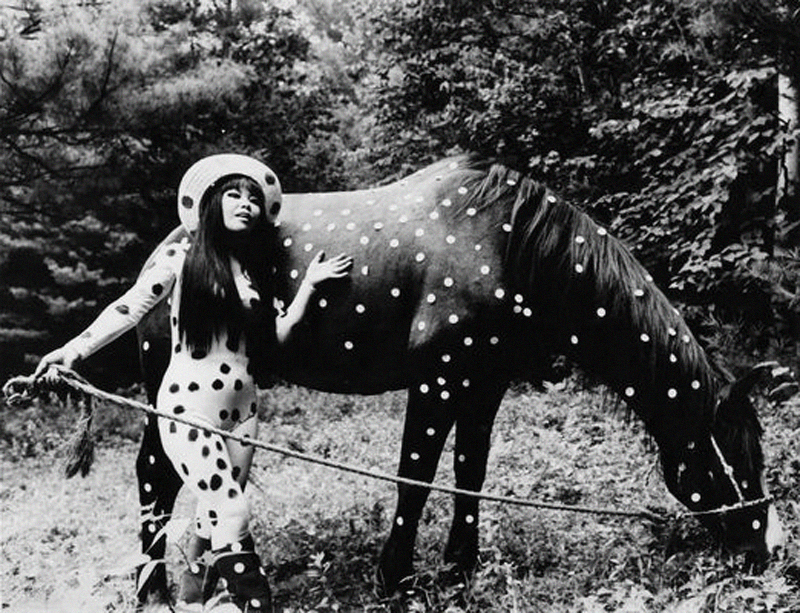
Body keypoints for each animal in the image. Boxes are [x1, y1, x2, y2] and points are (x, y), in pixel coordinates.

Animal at [134, 154, 784, 604]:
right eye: (731, 463)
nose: (771, 549)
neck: (513, 247)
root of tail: (165, 251)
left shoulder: (484, 384)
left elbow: (470, 473)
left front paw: (459, 570)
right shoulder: (438, 381)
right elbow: (415, 479)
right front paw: (395, 578)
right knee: (154, 477)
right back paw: (153, 592)